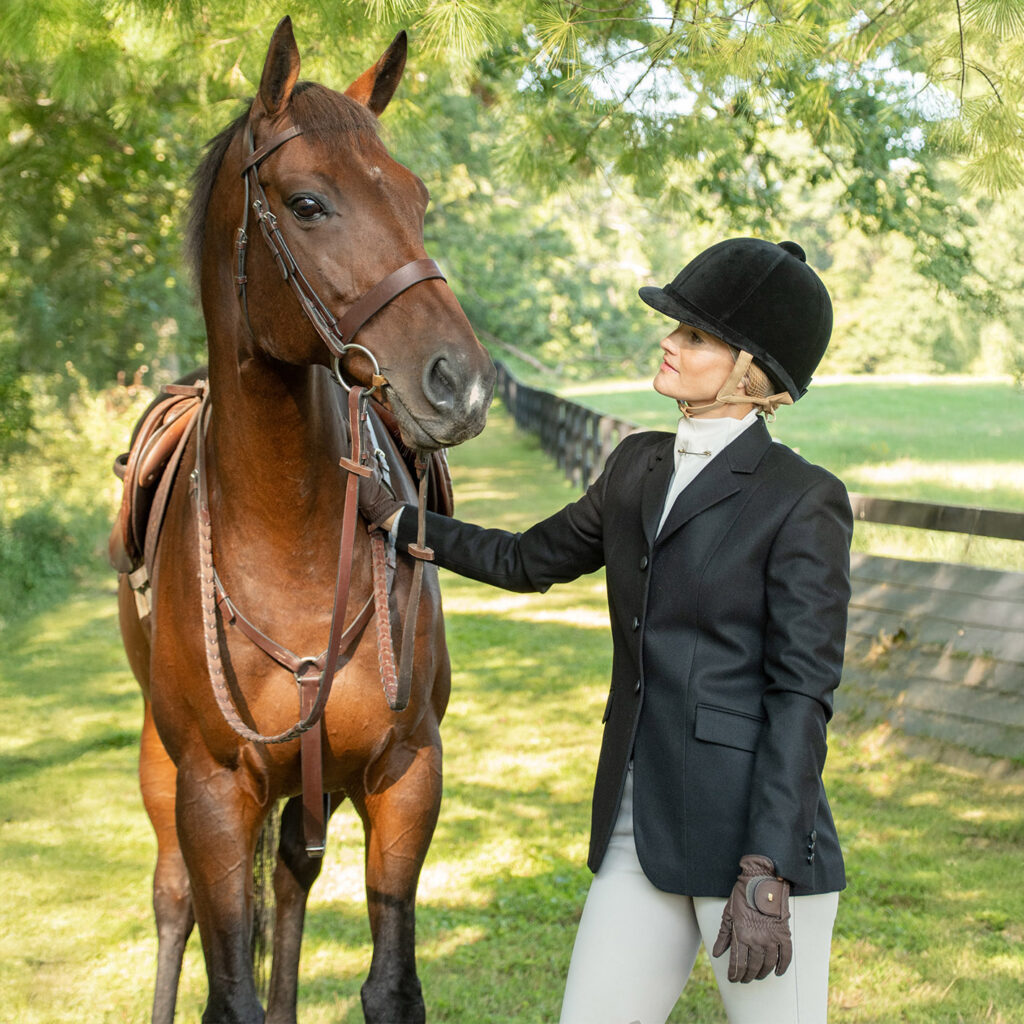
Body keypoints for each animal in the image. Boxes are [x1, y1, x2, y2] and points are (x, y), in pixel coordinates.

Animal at [113, 18, 495, 1023]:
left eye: (417, 197)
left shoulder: (405, 773)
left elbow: (389, 982)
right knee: (174, 899)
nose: (462, 384)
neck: (285, 536)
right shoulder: (211, 792)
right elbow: (228, 989)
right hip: (163, 766)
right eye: (309, 202)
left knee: (288, 878)